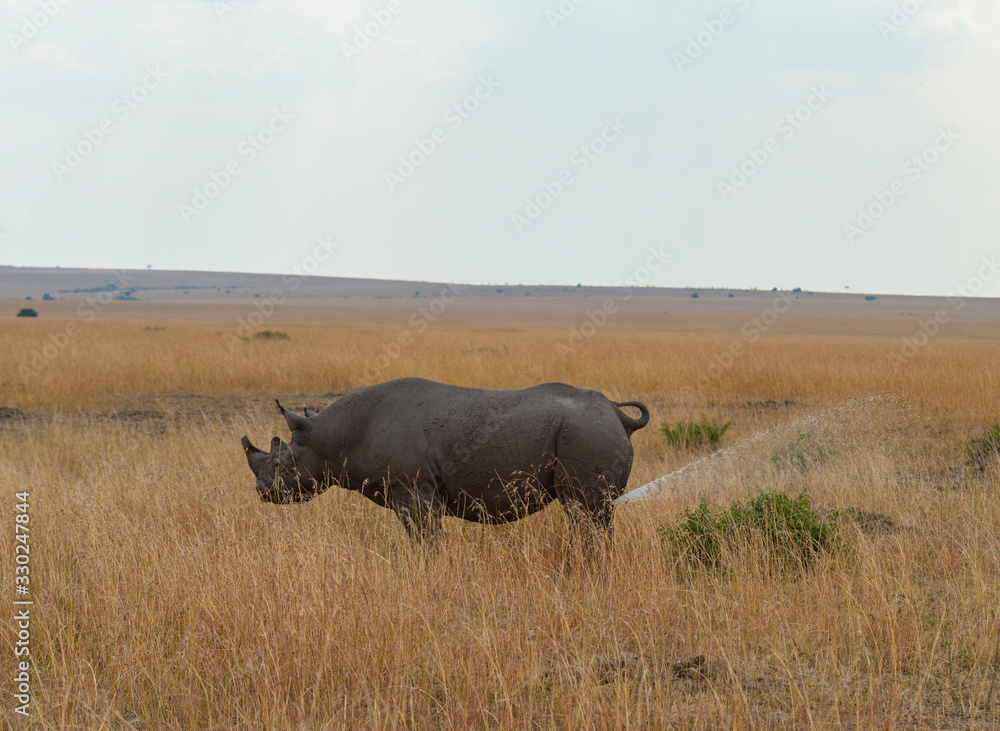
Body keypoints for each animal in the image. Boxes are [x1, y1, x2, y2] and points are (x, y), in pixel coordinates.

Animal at [241, 377, 649, 546]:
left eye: (279, 465)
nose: (261, 492)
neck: (329, 436)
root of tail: (618, 416)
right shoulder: (410, 492)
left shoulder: (412, 489)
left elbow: (427, 539)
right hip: (591, 430)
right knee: (594, 514)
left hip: (587, 432)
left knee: (586, 510)